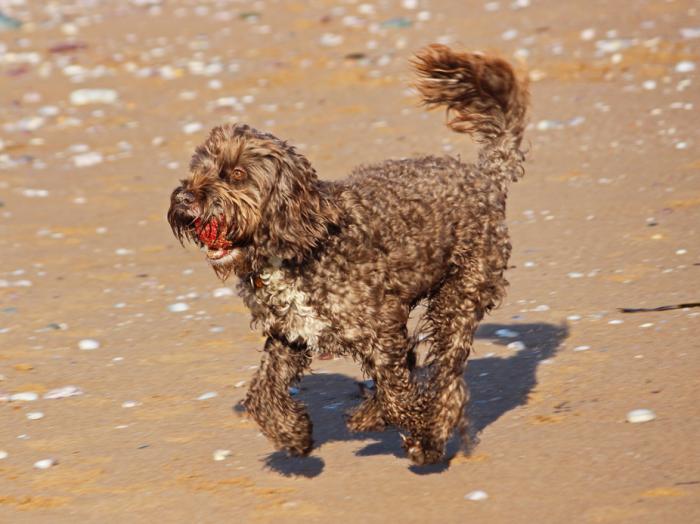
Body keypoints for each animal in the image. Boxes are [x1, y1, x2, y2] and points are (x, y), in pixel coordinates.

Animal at [168, 44, 532, 462]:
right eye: (199, 168)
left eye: (237, 174)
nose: (183, 198)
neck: (300, 246)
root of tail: (485, 177)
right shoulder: (291, 334)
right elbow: (262, 394)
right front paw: (293, 433)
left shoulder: (381, 329)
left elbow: (398, 393)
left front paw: (420, 430)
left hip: (459, 296)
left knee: (446, 375)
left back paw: (426, 428)